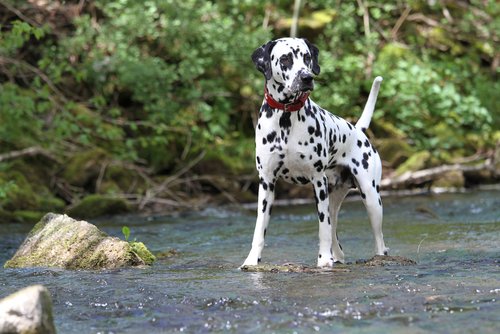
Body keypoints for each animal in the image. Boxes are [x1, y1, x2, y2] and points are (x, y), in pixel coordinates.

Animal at [242, 38, 390, 268]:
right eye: (285, 59)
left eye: (307, 57)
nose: (306, 77)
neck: (286, 119)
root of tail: (358, 130)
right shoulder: (266, 183)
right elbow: (259, 229)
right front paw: (251, 260)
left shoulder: (318, 181)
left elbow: (322, 228)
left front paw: (323, 260)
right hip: (335, 201)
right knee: (335, 233)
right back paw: (337, 257)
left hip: (372, 200)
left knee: (378, 242)